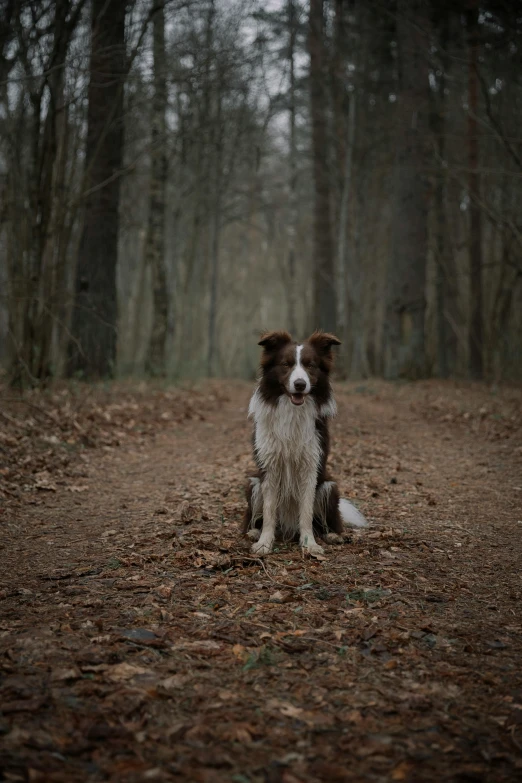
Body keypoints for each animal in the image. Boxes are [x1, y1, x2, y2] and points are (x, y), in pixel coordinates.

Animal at [241, 330, 366, 556]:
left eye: (310, 365)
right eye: (286, 364)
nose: (300, 384)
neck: (293, 411)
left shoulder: (311, 465)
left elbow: (306, 511)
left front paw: (309, 544)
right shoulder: (269, 467)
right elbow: (269, 511)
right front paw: (264, 543)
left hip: (329, 487)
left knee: (324, 521)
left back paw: (331, 535)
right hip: (253, 484)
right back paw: (254, 531)